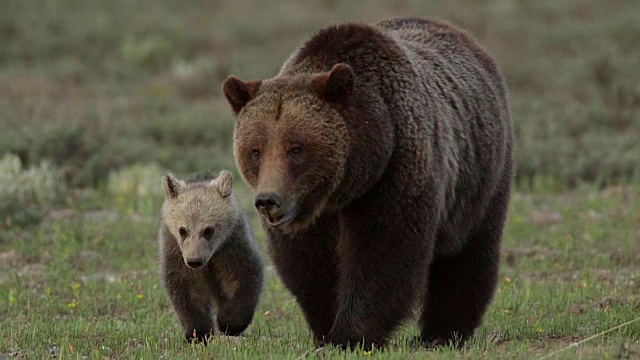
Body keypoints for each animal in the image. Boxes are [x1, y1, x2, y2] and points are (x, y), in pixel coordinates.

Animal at [222, 16, 512, 348]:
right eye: (255, 150)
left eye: (296, 148)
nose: (268, 201)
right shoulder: (309, 216)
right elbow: (309, 265)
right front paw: (325, 328)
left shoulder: (392, 174)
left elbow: (382, 254)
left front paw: (350, 334)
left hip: (481, 176)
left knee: (468, 253)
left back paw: (444, 332)